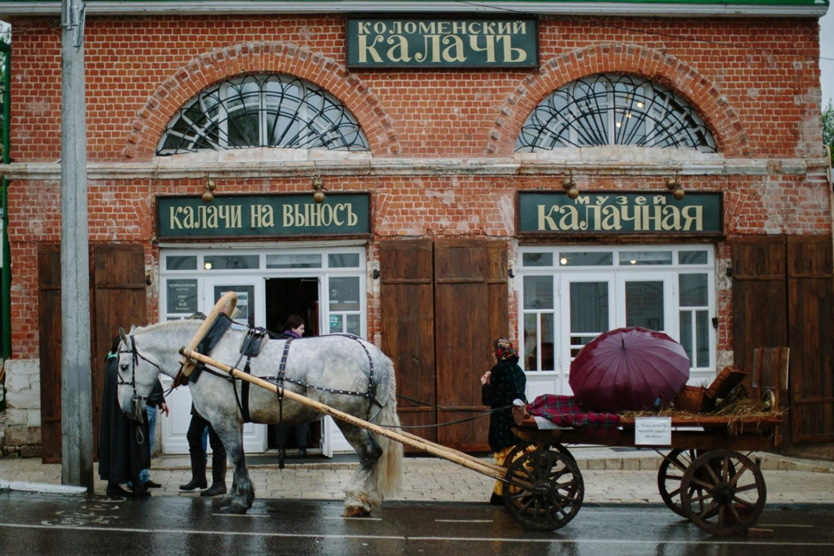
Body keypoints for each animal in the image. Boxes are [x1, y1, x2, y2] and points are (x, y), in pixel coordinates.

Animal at [115, 320, 402, 516]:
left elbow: (236, 457)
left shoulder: (224, 419)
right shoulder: (229, 421)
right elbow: (234, 458)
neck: (205, 354)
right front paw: (234, 496)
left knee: (370, 453)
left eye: (124, 366)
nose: (125, 408)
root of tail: (375, 355)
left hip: (347, 417)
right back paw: (367, 499)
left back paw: (354, 499)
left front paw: (240, 500)